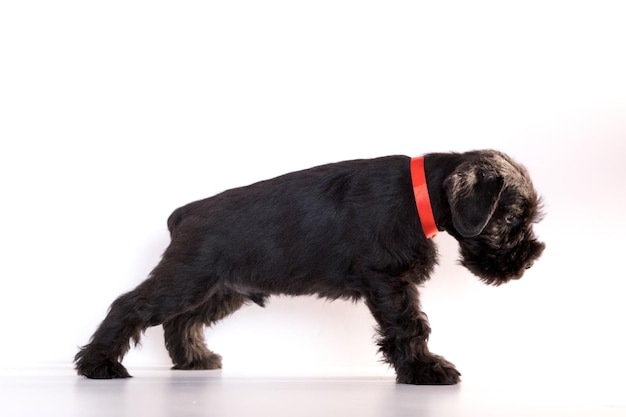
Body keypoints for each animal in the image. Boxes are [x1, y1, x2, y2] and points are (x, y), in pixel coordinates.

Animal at [72, 150, 540, 384]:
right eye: (512, 219)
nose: (531, 258)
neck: (419, 192)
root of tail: (185, 213)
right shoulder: (388, 281)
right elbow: (410, 326)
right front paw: (425, 369)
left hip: (222, 290)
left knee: (181, 322)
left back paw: (194, 360)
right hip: (186, 279)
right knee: (131, 306)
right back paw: (97, 365)